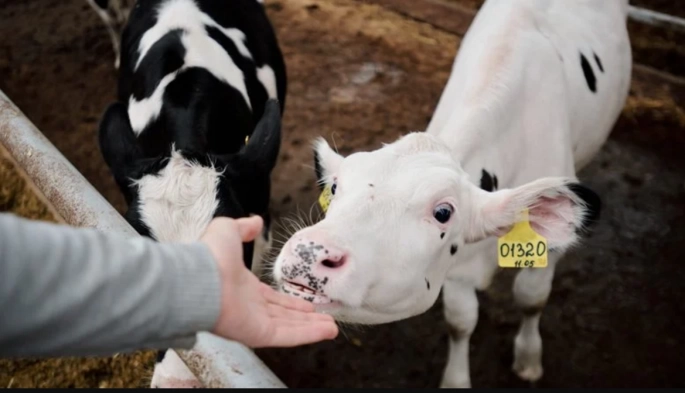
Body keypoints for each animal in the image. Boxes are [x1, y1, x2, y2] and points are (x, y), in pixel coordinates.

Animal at [272, 0, 632, 386]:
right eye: (336, 187)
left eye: (443, 212)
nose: (307, 252)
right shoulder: (456, 269)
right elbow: (461, 323)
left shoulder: (547, 251)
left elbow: (531, 299)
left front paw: (529, 359)